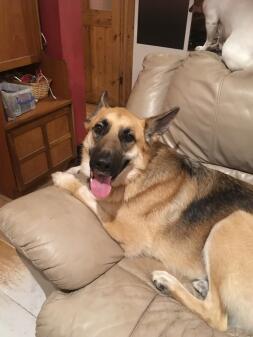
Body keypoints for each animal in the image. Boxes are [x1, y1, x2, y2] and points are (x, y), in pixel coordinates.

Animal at [52, 91, 253, 330]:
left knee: (217, 316)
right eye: (99, 128)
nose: (100, 164)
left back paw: (167, 283)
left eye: (128, 137)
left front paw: (63, 178)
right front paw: (74, 170)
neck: (140, 172)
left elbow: (87, 193)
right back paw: (202, 285)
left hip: (231, 222)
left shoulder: (124, 231)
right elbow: (83, 176)